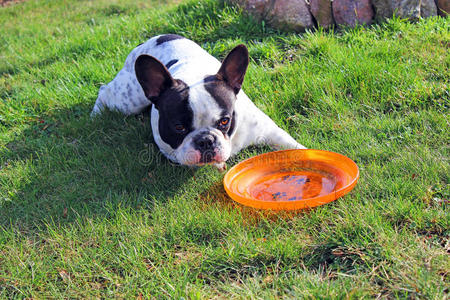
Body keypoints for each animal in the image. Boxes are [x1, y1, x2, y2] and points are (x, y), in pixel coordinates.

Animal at [92, 34, 306, 169]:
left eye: (225, 121)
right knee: (104, 91)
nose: (205, 140)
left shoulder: (268, 130)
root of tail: (144, 43)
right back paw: (96, 114)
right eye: (178, 127)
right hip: (128, 100)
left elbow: (290, 143)